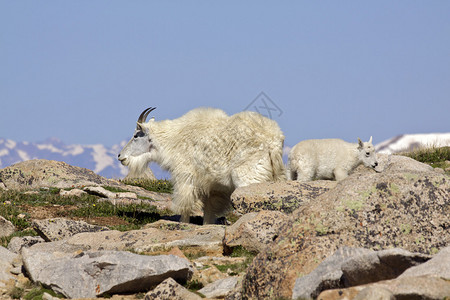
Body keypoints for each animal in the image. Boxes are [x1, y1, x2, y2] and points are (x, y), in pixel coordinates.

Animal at [117, 107, 284, 223]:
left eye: (136, 136)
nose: (120, 156)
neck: (173, 139)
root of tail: (273, 141)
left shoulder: (185, 176)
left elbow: (185, 205)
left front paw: (183, 224)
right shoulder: (214, 188)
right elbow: (209, 211)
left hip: (249, 179)